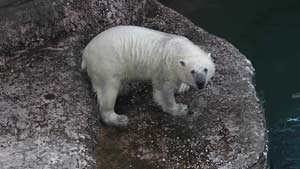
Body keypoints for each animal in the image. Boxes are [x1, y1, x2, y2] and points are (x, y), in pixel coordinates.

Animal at [81, 25, 214, 127]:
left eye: (206, 69)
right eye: (192, 71)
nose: (201, 83)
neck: (177, 47)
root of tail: (85, 53)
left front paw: (183, 87)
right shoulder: (165, 67)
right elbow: (164, 91)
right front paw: (179, 109)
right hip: (107, 64)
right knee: (108, 91)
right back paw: (118, 119)